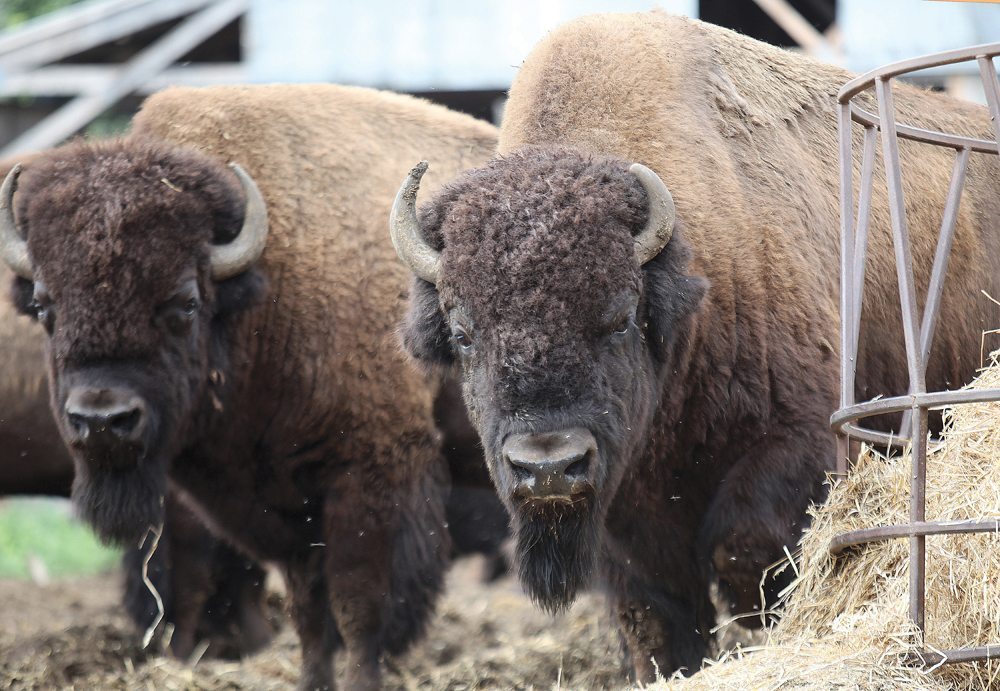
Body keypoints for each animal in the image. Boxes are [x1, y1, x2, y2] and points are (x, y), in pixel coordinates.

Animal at [1, 84, 497, 690]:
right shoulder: (280, 510)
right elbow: (309, 613)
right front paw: (311, 681)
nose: (102, 420)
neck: (272, 274)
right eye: (44, 305)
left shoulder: (373, 478)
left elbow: (358, 607)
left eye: (185, 302)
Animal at [392, 12, 1000, 680]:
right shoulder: (626, 510)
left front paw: (758, 619)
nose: (548, 466)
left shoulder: (797, 441)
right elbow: (655, 612)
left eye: (620, 318)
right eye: (462, 333)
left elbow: (745, 548)